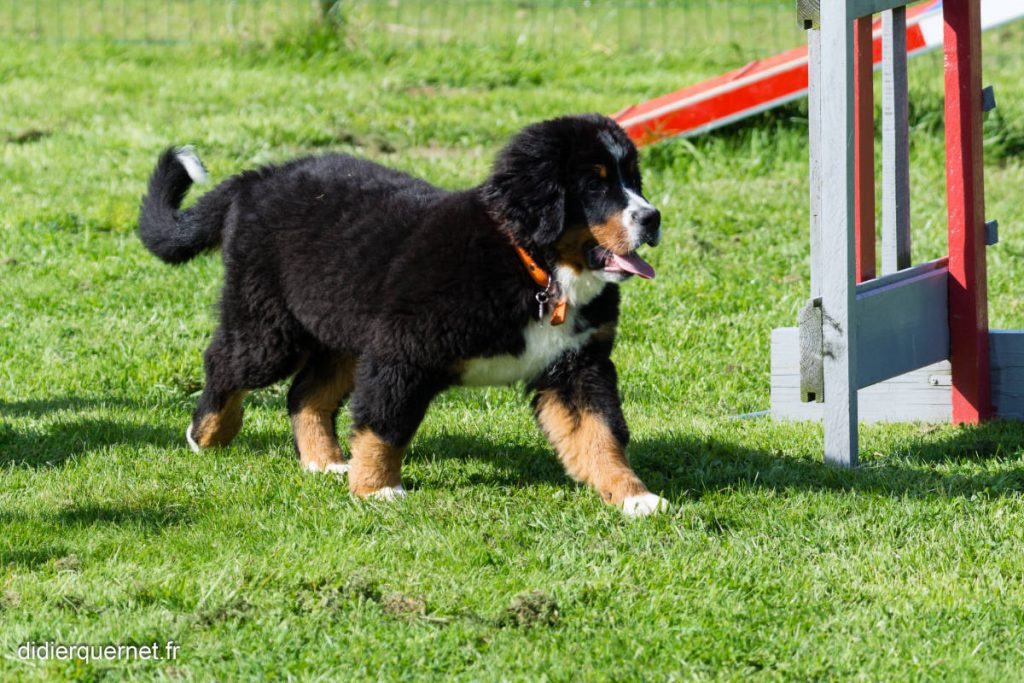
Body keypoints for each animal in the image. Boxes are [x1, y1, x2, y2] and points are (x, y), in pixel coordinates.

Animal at [140, 113, 671, 518]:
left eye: (633, 180)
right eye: (594, 184)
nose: (652, 217)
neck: (531, 265)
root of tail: (259, 177)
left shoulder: (577, 366)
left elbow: (601, 434)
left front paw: (634, 496)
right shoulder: (402, 351)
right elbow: (385, 424)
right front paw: (377, 488)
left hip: (343, 333)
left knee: (305, 394)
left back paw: (322, 461)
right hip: (270, 328)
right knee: (225, 363)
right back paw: (207, 434)